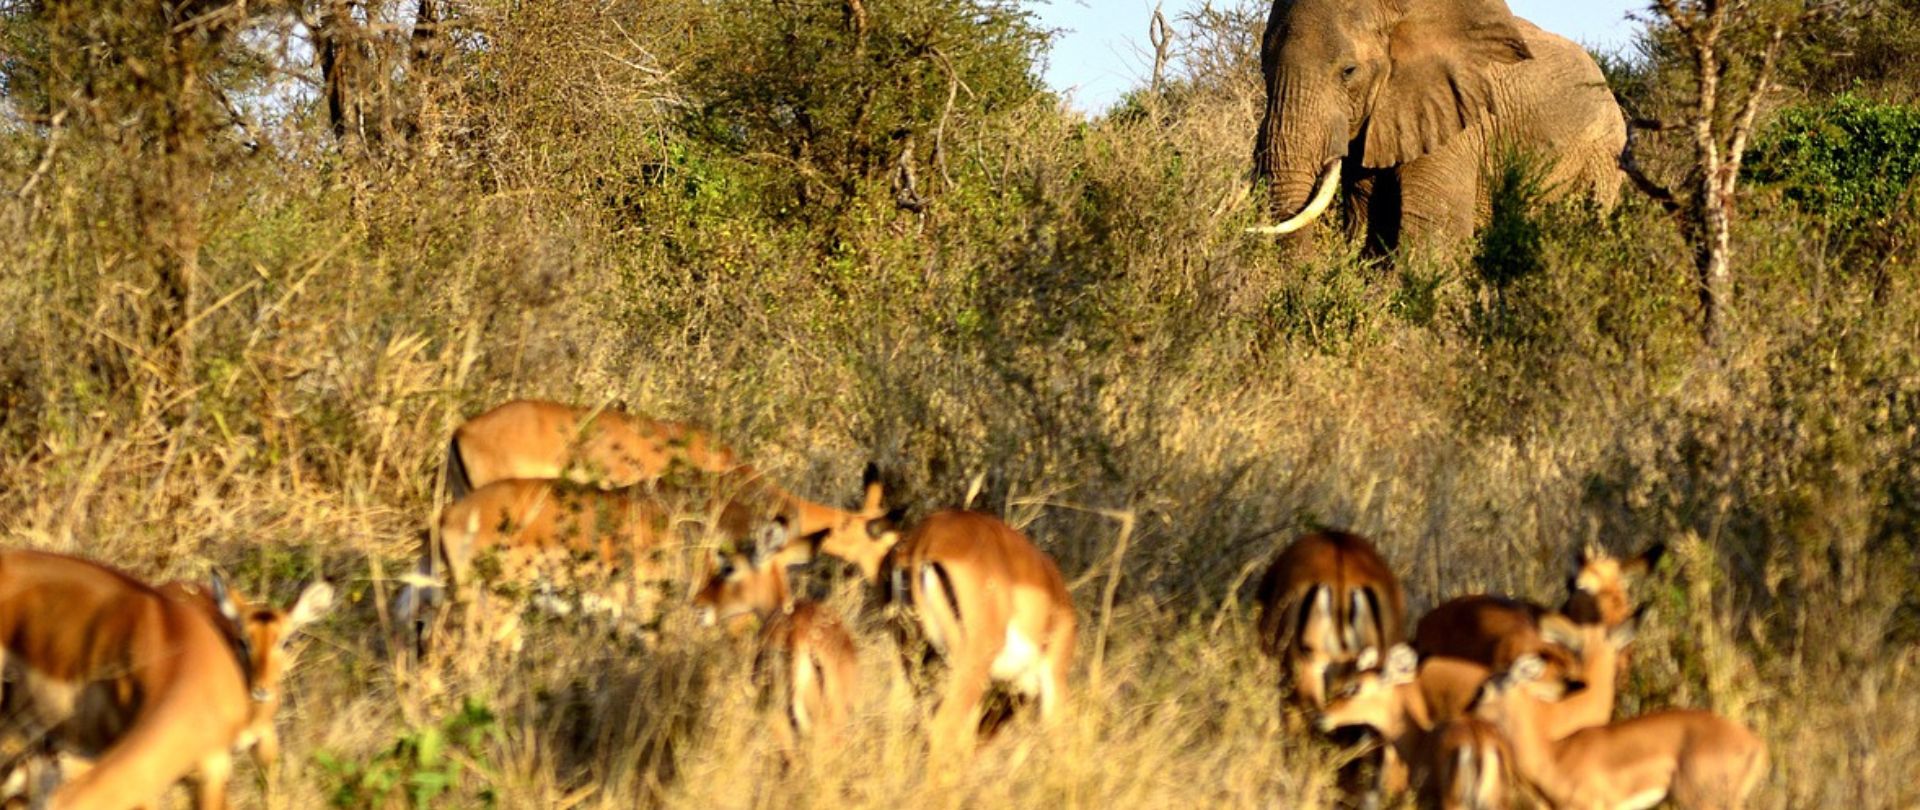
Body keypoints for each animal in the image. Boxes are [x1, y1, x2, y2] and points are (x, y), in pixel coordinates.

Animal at [1251, 0, 1628, 255]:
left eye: (1348, 71)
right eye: (1264, 68)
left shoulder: (1456, 118)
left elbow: (1434, 234)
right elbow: (1372, 226)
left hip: (1601, 158)